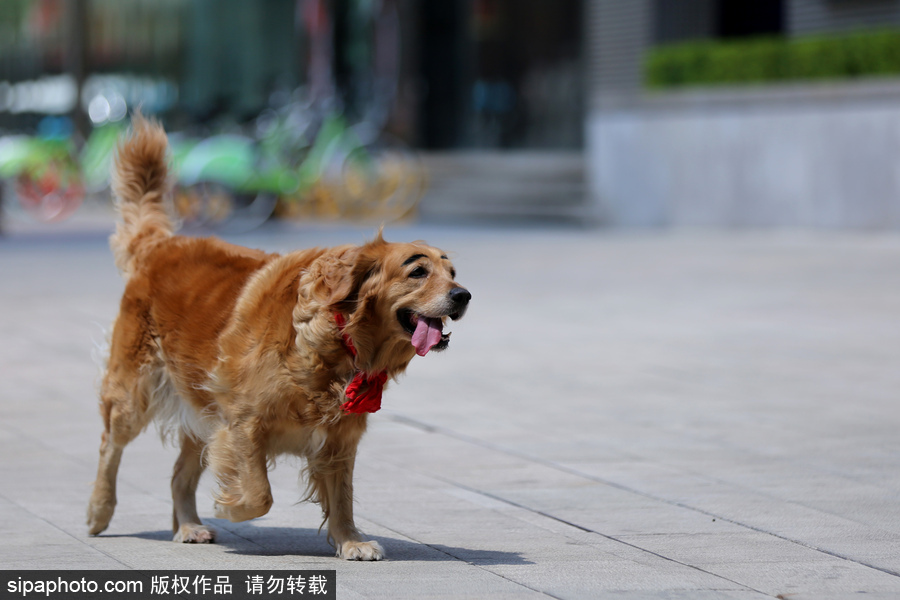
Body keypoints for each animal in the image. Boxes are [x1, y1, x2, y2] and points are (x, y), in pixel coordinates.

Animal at [84, 117, 472, 564]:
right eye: (418, 272)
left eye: (452, 273)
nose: (464, 295)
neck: (335, 338)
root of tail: (161, 243)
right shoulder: (242, 421)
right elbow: (259, 495)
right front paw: (231, 506)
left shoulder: (339, 438)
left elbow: (342, 498)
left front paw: (350, 540)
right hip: (135, 391)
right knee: (109, 446)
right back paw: (99, 511)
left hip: (199, 400)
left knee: (180, 473)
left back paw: (187, 526)